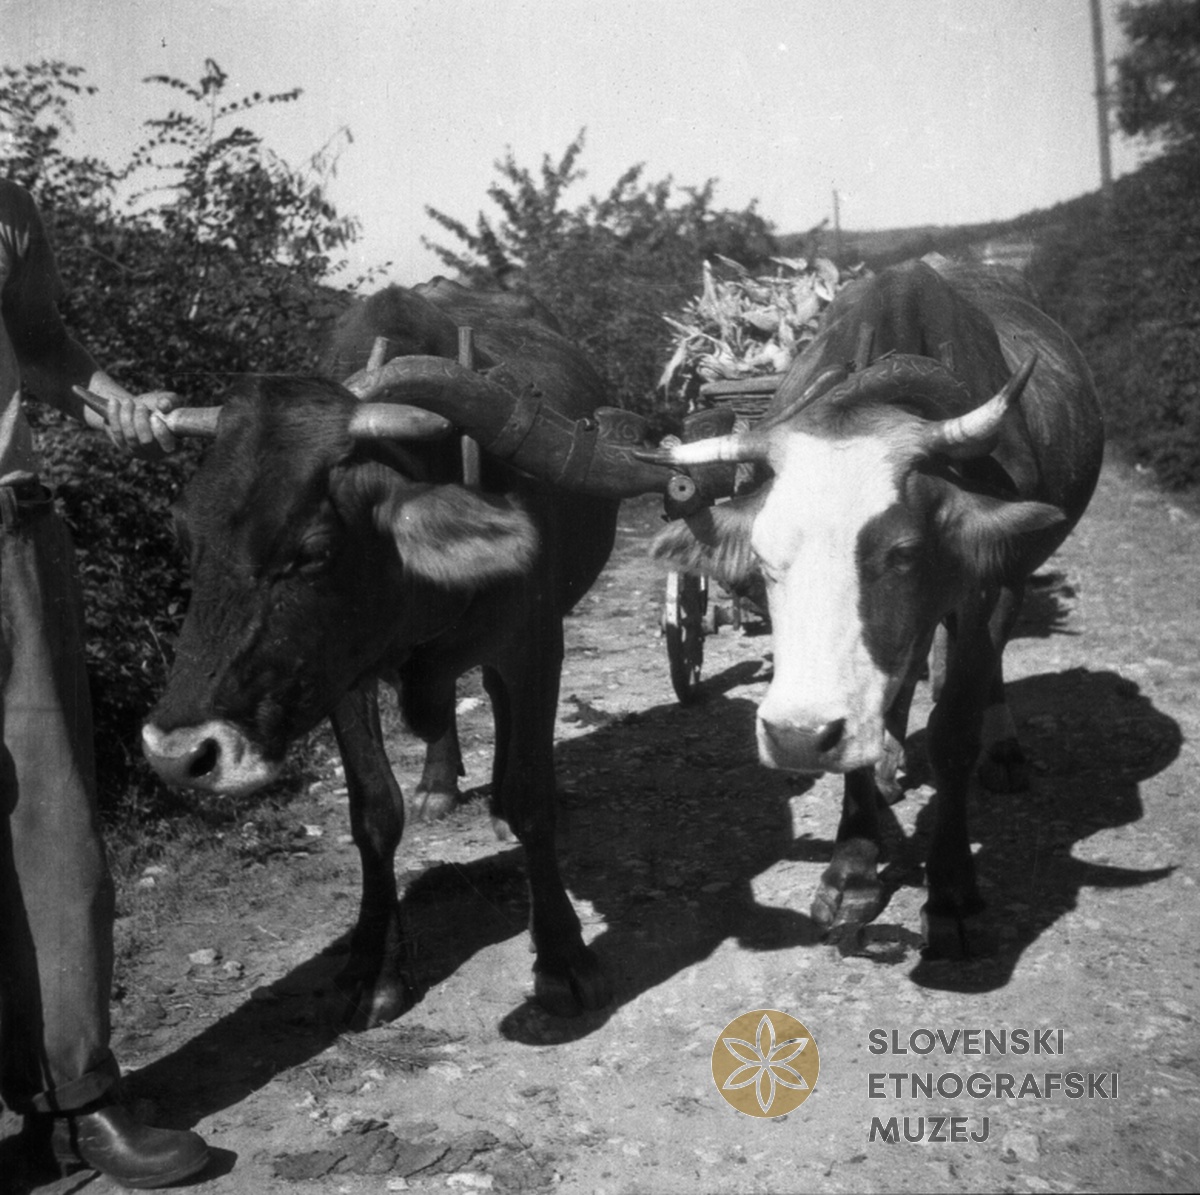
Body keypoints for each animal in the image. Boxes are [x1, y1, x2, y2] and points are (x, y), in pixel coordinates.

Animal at [136, 278, 690, 1026]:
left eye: (314, 549)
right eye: (184, 535)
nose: (179, 755)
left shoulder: (535, 644)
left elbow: (531, 797)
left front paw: (564, 958)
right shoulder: (341, 676)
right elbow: (373, 810)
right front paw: (373, 968)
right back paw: (438, 782)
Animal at [639, 258, 1104, 956]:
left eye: (905, 552)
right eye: (763, 560)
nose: (797, 737)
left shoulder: (988, 585)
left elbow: (953, 725)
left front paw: (952, 892)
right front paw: (852, 872)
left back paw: (1002, 753)